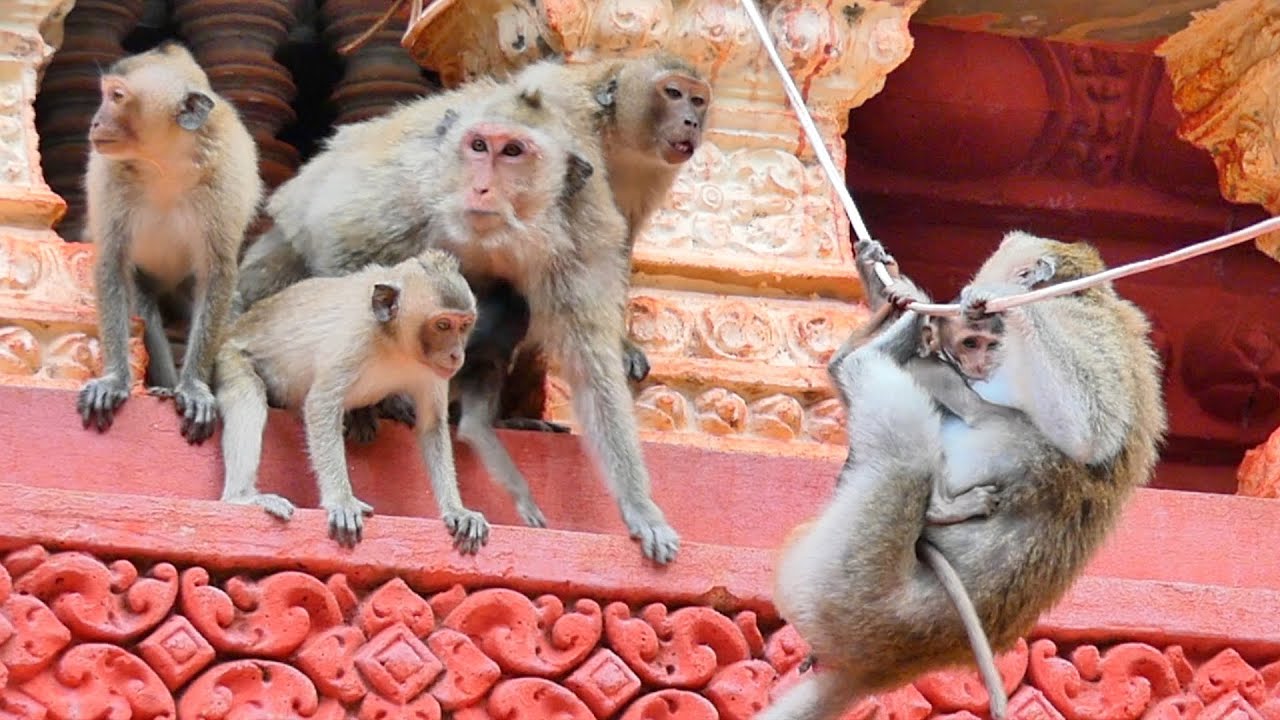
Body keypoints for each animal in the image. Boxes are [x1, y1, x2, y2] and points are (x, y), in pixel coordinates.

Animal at [76, 42, 263, 444]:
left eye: (117, 97)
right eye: (106, 95)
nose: (95, 122)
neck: (165, 162)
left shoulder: (226, 179)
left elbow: (219, 271)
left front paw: (193, 387)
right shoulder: (107, 174)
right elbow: (111, 262)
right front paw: (115, 379)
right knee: (143, 306)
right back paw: (162, 385)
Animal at [216, 249, 486, 550]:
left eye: (464, 325)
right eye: (442, 325)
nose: (456, 355)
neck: (395, 343)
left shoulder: (432, 372)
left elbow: (431, 426)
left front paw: (457, 509)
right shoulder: (355, 339)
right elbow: (321, 404)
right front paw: (342, 500)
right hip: (230, 354)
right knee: (247, 395)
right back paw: (242, 496)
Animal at [759, 232, 1165, 720]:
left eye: (988, 344)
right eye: (972, 344)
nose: (981, 363)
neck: (1087, 295)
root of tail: (879, 667)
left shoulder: (1070, 321)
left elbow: (1089, 431)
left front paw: (991, 296)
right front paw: (883, 282)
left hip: (842, 581)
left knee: (912, 449)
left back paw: (862, 362)